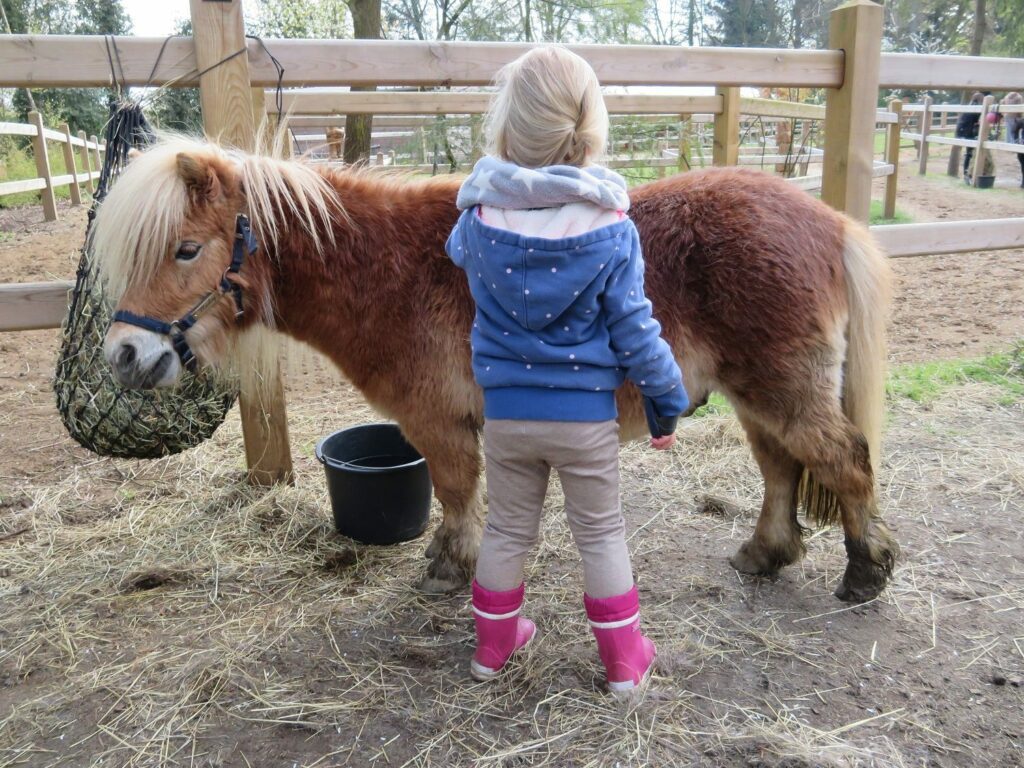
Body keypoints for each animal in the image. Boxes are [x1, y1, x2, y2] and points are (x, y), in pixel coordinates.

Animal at [94, 135, 897, 606]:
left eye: (186, 250)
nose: (122, 356)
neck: (388, 272)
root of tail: (829, 221)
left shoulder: (439, 423)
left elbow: (456, 495)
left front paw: (449, 570)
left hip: (782, 388)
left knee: (845, 461)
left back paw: (864, 571)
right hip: (757, 393)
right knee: (782, 469)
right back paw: (765, 554)